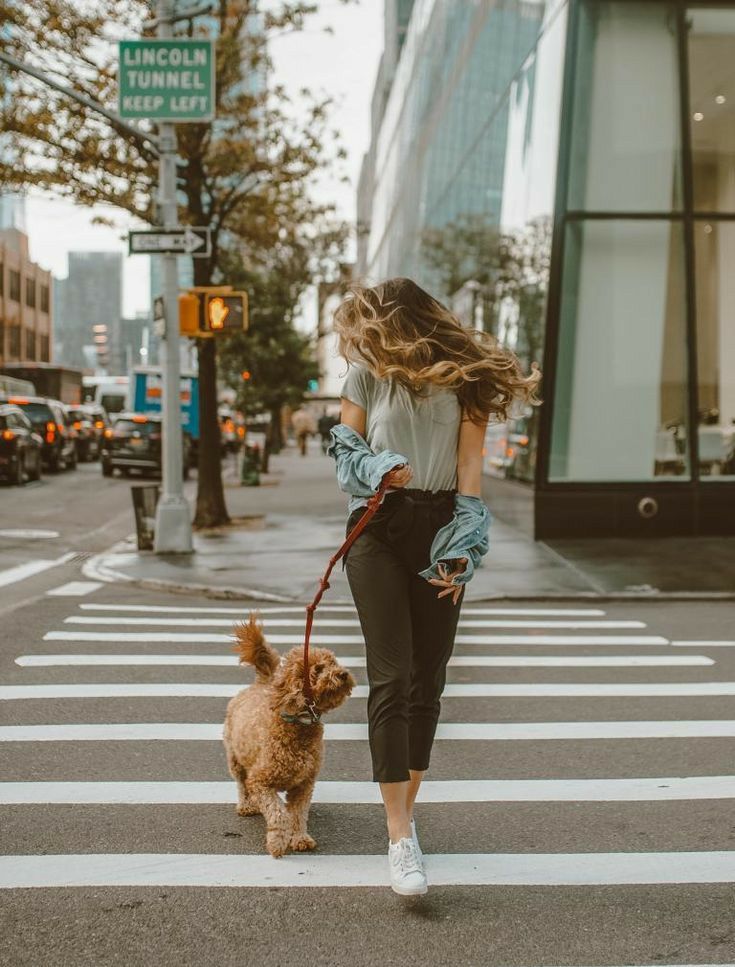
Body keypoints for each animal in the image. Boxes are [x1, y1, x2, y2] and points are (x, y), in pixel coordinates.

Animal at [223, 616, 356, 860]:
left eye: (334, 662)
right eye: (318, 669)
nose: (343, 674)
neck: (297, 725)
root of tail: (262, 682)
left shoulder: (304, 785)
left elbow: (298, 815)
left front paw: (300, 838)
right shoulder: (261, 782)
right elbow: (279, 814)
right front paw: (277, 843)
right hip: (235, 759)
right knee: (242, 784)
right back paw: (246, 805)